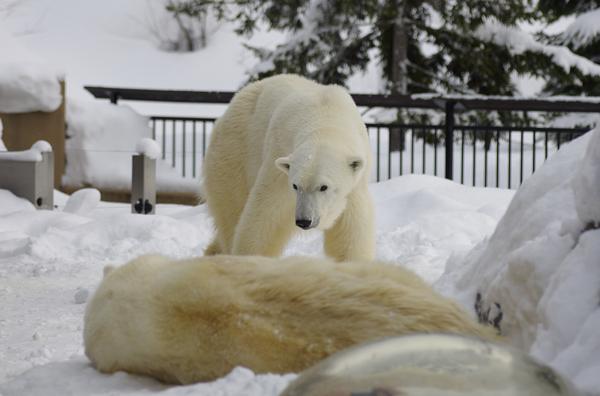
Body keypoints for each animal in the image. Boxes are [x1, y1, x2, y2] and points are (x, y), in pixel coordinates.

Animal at [200, 74, 376, 262]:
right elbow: (266, 215)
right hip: (234, 154)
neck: (327, 119)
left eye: (324, 187)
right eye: (295, 185)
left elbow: (350, 229)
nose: (304, 221)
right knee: (232, 210)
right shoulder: (278, 162)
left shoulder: (354, 185)